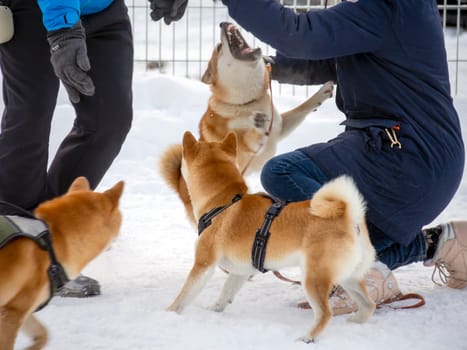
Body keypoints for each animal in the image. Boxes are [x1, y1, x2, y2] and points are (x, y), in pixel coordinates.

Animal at [166, 131, 378, 342]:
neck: (223, 201)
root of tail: (348, 216)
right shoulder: (241, 271)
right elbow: (225, 293)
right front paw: (214, 309)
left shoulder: (204, 263)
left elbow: (185, 294)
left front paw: (168, 312)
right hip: (349, 276)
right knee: (369, 304)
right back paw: (354, 322)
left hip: (313, 277)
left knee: (326, 313)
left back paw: (307, 337)